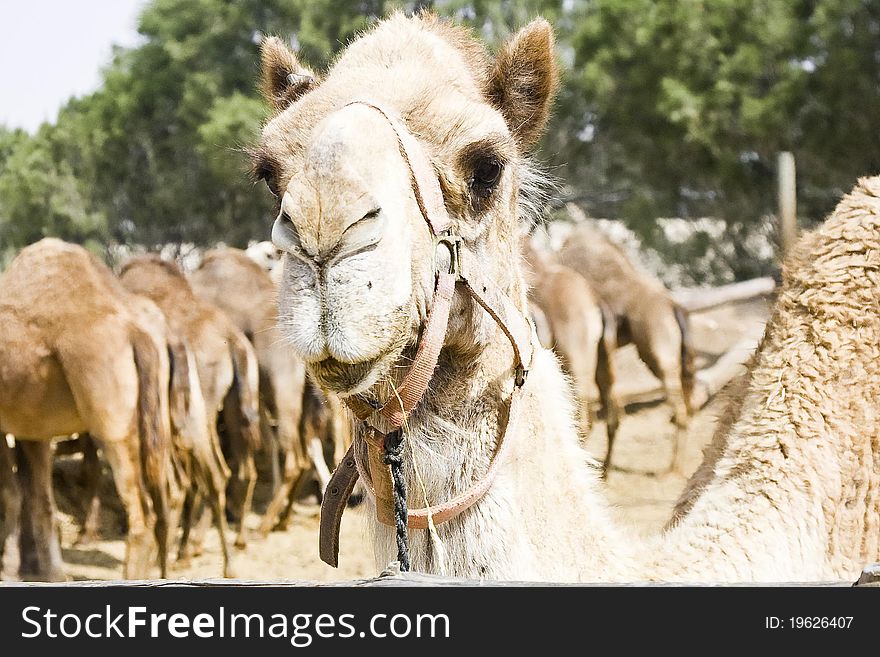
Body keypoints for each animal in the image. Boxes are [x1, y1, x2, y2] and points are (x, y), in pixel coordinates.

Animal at [0, 238, 170, 576]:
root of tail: (135, 331)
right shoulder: (32, 426)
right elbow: (38, 500)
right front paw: (51, 574)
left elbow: (10, 493)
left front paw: (10, 570)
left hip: (110, 415)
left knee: (142, 511)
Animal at [117, 254, 256, 572]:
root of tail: (234, 342)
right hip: (226, 409)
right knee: (230, 471)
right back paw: (227, 552)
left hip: (194, 413)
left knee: (203, 477)